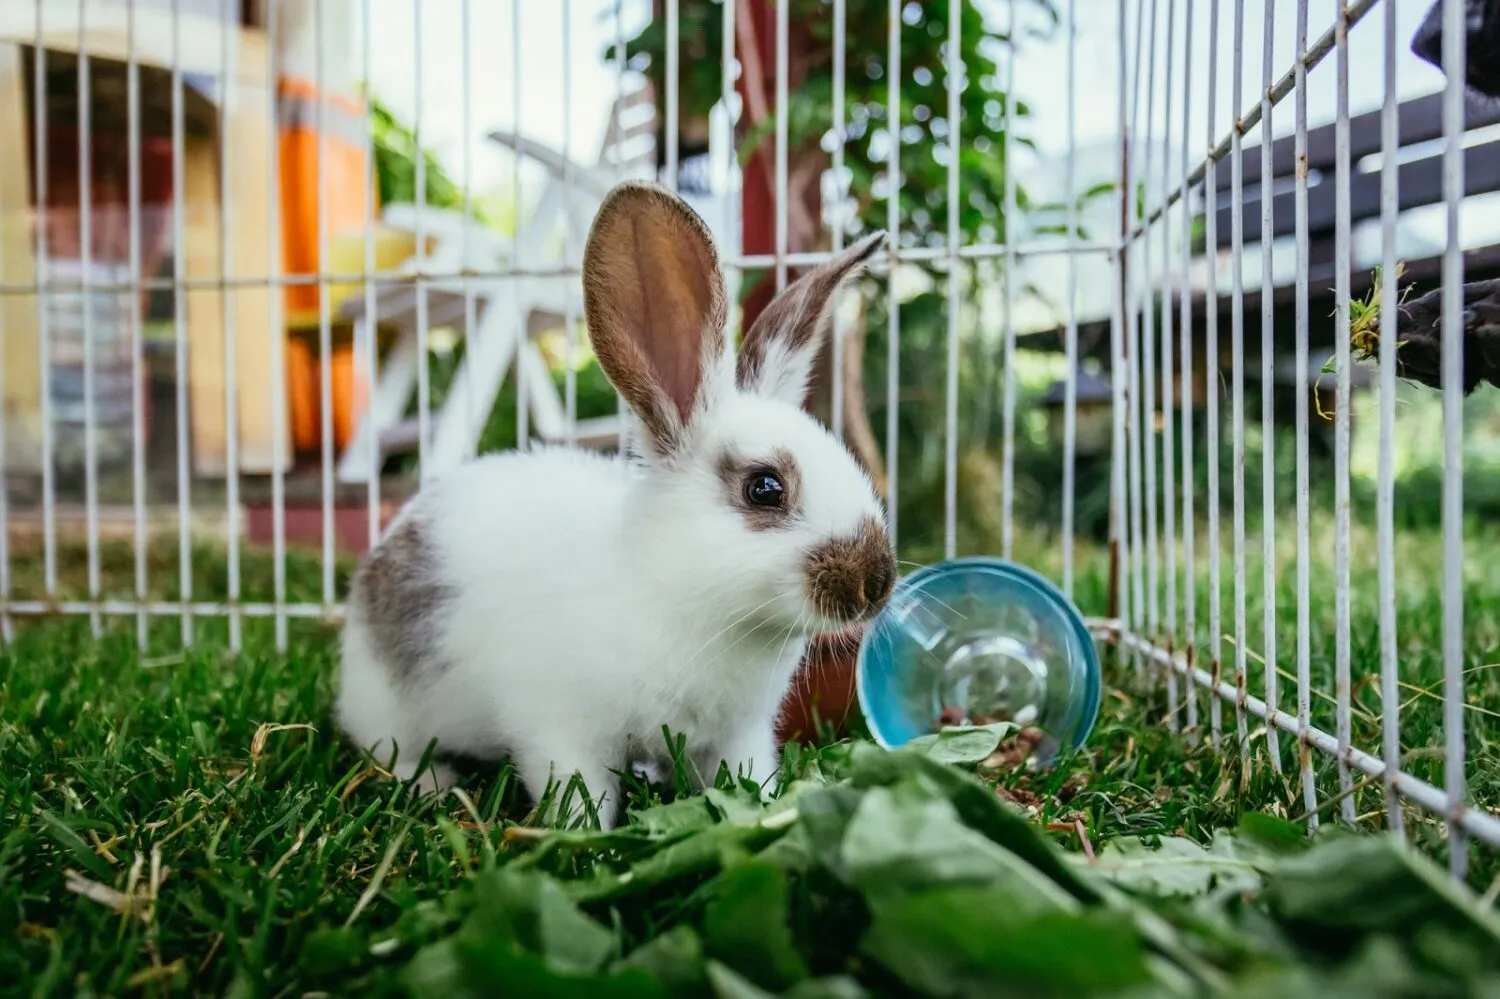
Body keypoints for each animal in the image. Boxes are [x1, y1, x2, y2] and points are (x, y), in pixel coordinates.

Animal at [334, 180, 896, 830]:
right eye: (765, 488)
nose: (876, 583)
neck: (683, 596)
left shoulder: (740, 735)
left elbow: (747, 776)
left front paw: (762, 811)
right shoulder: (560, 730)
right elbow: (578, 793)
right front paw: (581, 838)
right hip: (387, 707)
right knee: (386, 749)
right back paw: (431, 783)